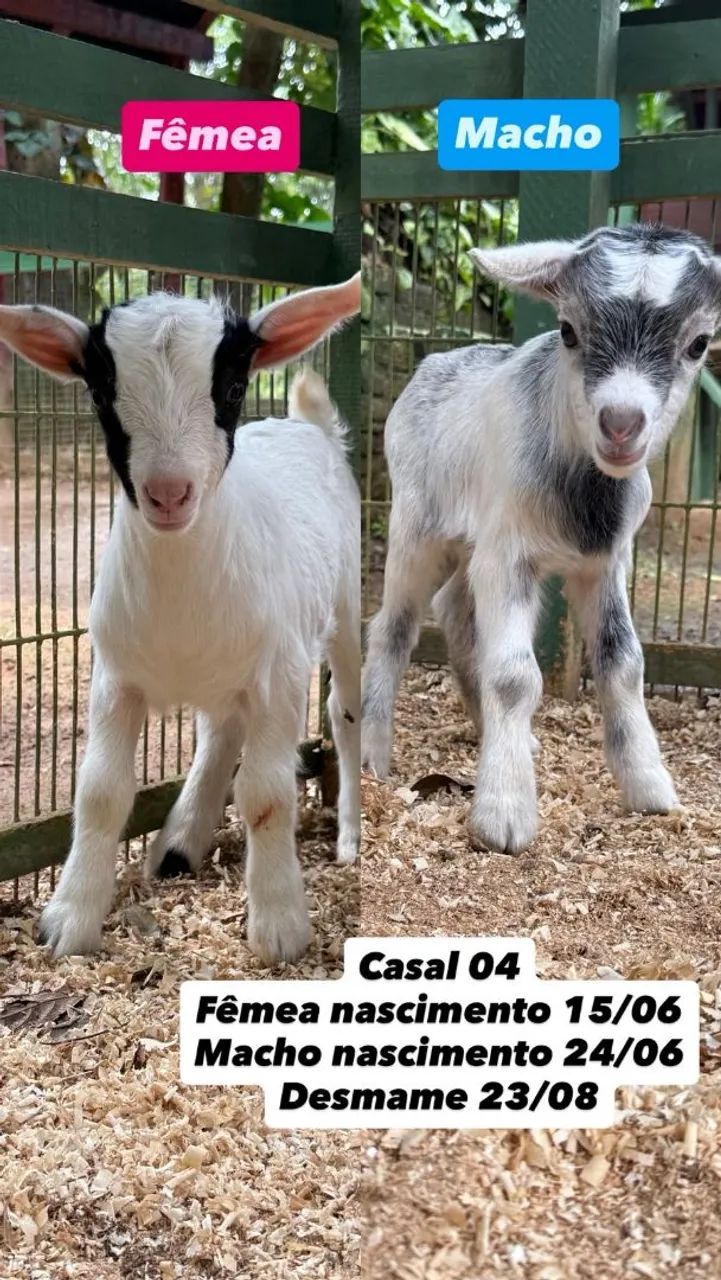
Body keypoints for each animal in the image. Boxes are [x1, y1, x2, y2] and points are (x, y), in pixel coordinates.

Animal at [0, 276, 361, 963]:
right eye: (100, 390)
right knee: (221, 730)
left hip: (343, 611)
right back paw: (178, 844)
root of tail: (309, 427)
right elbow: (100, 791)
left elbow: (267, 795)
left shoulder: (279, 674)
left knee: (345, 714)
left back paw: (349, 837)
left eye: (231, 387)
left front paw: (280, 927)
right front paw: (68, 920)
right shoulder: (116, 676)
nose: (169, 493)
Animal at [362, 223, 721, 853]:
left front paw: (649, 786)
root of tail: (435, 361)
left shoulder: (606, 562)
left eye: (699, 342)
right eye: (568, 330)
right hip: (417, 524)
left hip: (470, 543)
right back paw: (373, 757)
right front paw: (503, 815)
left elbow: (623, 662)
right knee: (393, 628)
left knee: (454, 611)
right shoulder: (508, 556)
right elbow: (513, 675)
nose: (621, 424)